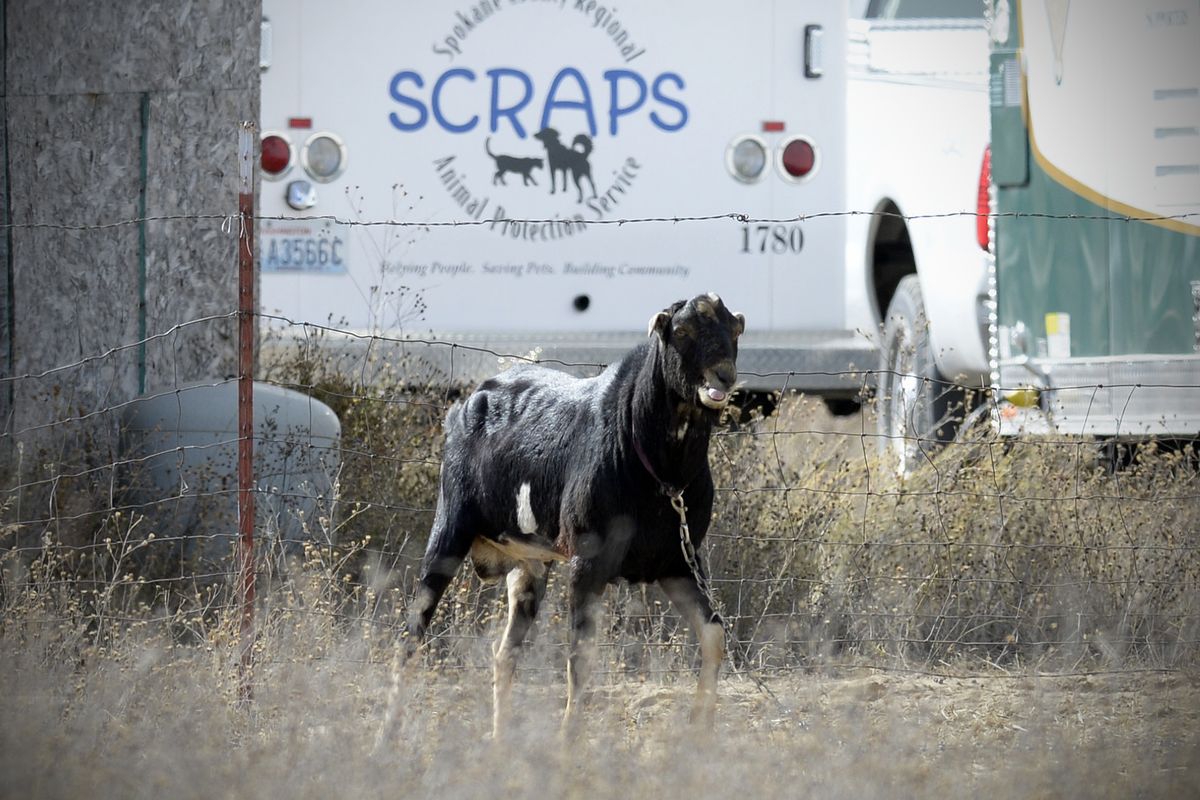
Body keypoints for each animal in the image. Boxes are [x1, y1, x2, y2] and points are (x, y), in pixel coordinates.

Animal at [405, 293, 739, 734]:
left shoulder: (677, 562)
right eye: (681, 331)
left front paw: (699, 732)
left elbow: (714, 634)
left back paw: (498, 740)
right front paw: (569, 742)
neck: (660, 472)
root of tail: (467, 403)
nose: (724, 377)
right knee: (411, 634)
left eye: (735, 330)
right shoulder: (588, 560)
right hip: (449, 529)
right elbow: (581, 658)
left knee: (504, 653)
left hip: (528, 565)